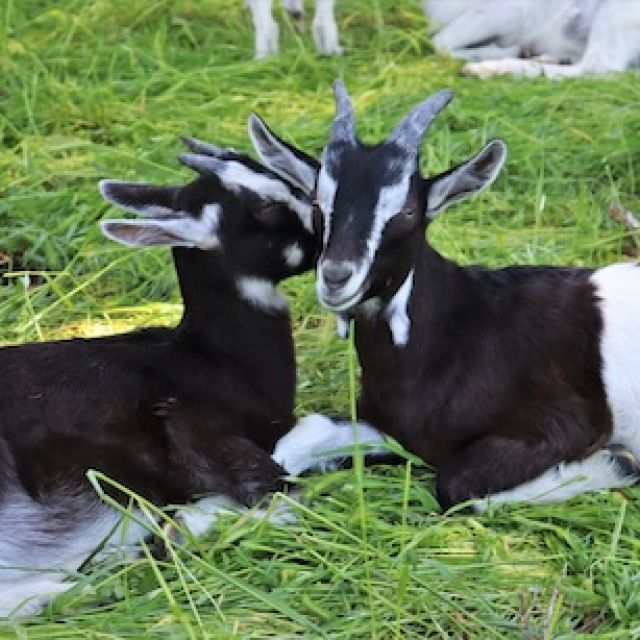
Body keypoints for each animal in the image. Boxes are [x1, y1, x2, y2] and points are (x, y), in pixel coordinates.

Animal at [249, 81, 640, 511]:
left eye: (406, 212)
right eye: (318, 205)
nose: (336, 276)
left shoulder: (566, 421)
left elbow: (457, 486)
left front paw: (617, 463)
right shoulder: (391, 429)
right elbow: (297, 440)